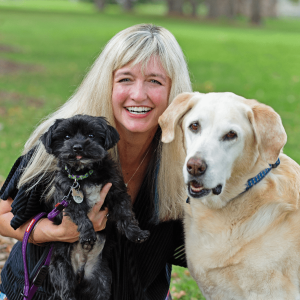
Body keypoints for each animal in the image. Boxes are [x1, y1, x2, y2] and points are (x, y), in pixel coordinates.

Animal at [39, 114, 150, 300]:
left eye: (91, 135)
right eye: (66, 137)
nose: (77, 147)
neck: (84, 174)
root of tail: (80, 272)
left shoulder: (117, 191)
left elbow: (125, 214)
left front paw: (136, 233)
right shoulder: (68, 197)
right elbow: (81, 215)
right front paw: (88, 234)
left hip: (101, 280)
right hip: (61, 271)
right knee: (65, 291)